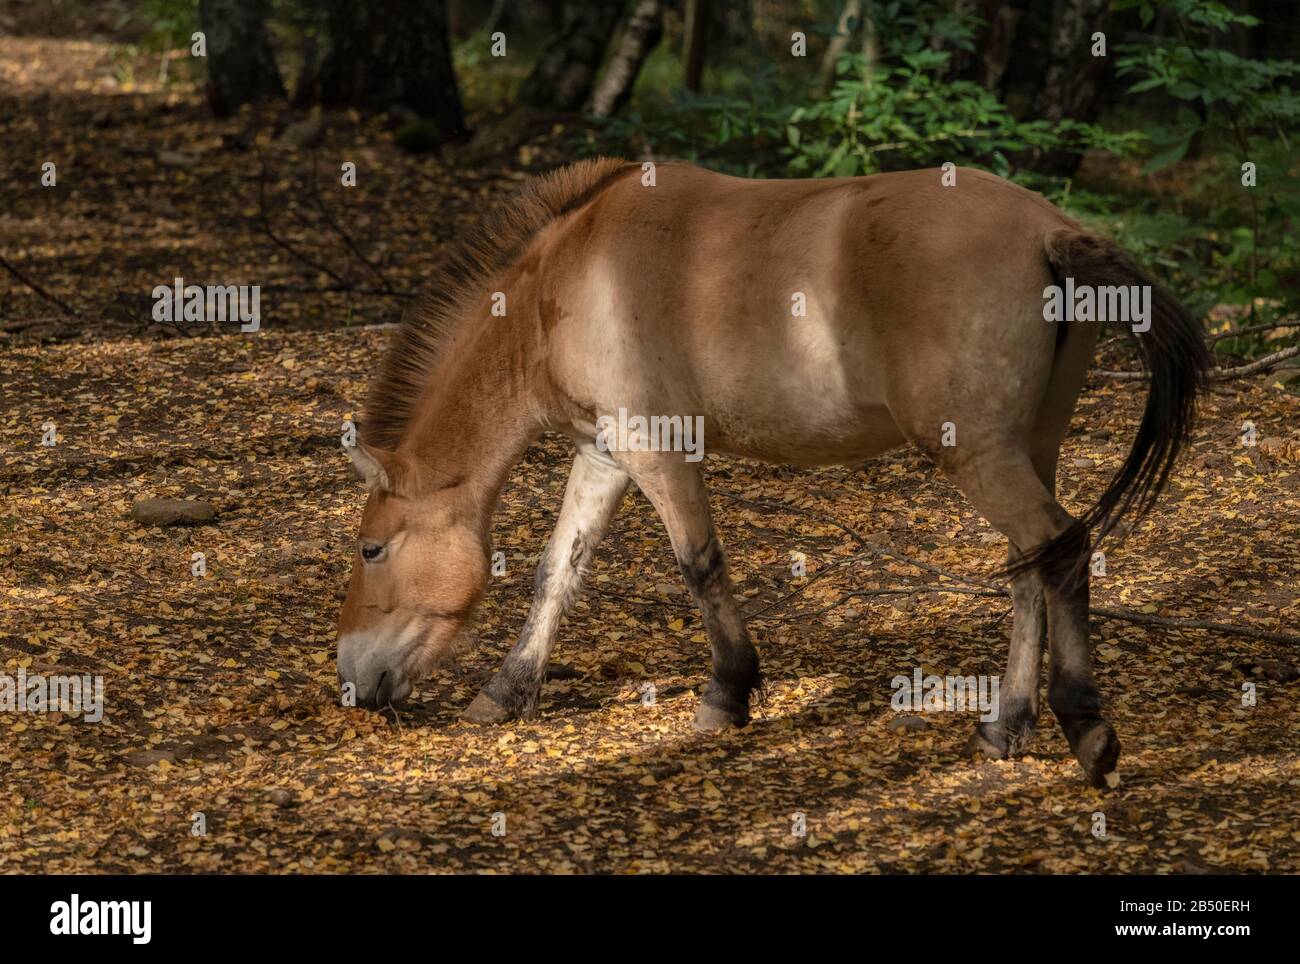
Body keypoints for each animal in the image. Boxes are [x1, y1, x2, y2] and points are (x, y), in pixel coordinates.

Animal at [338, 158, 1206, 789]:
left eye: (371, 549)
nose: (352, 679)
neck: (567, 279)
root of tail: (1050, 233)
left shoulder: (659, 448)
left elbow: (698, 566)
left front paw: (727, 694)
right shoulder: (605, 452)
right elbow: (559, 572)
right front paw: (508, 690)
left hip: (980, 455)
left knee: (1061, 551)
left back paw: (1084, 727)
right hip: (1027, 449)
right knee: (1033, 568)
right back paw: (1006, 725)